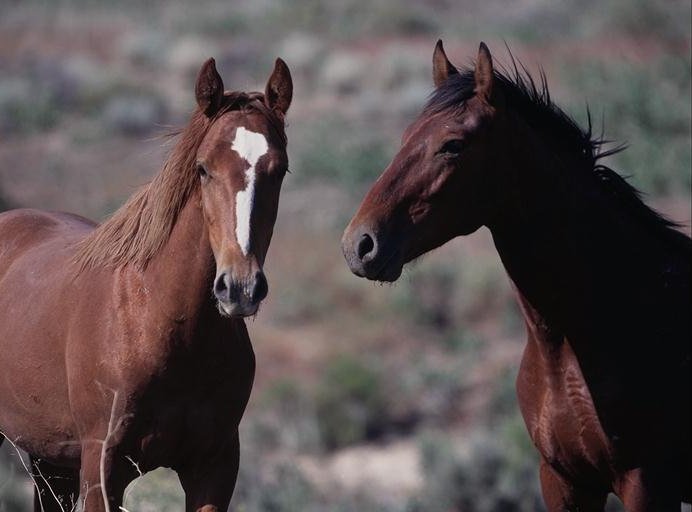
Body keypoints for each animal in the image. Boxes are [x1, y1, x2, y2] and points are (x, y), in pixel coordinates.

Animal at [0, 57, 292, 512]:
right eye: (203, 168)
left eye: (279, 170)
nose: (240, 288)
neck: (158, 317)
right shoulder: (102, 469)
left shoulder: (215, 467)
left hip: (50, 459)